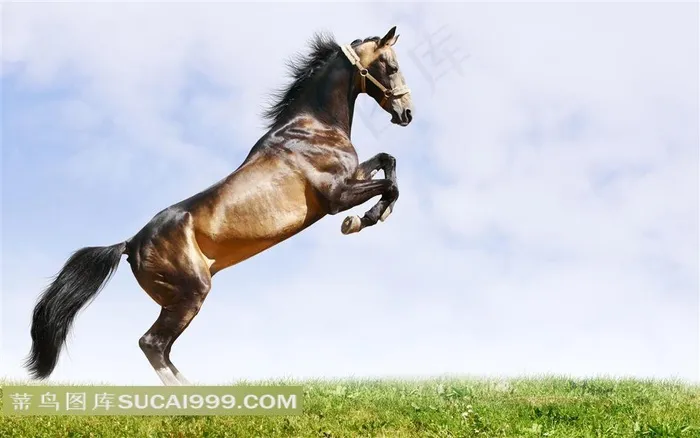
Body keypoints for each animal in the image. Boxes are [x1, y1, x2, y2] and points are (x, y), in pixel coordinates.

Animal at [24, 26, 413, 386]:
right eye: (392, 67)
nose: (407, 112)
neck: (313, 127)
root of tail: (130, 244)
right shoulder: (336, 196)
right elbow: (390, 186)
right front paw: (364, 219)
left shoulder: (352, 177)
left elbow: (388, 160)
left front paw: (372, 214)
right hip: (191, 294)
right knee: (152, 343)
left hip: (176, 300)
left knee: (163, 348)